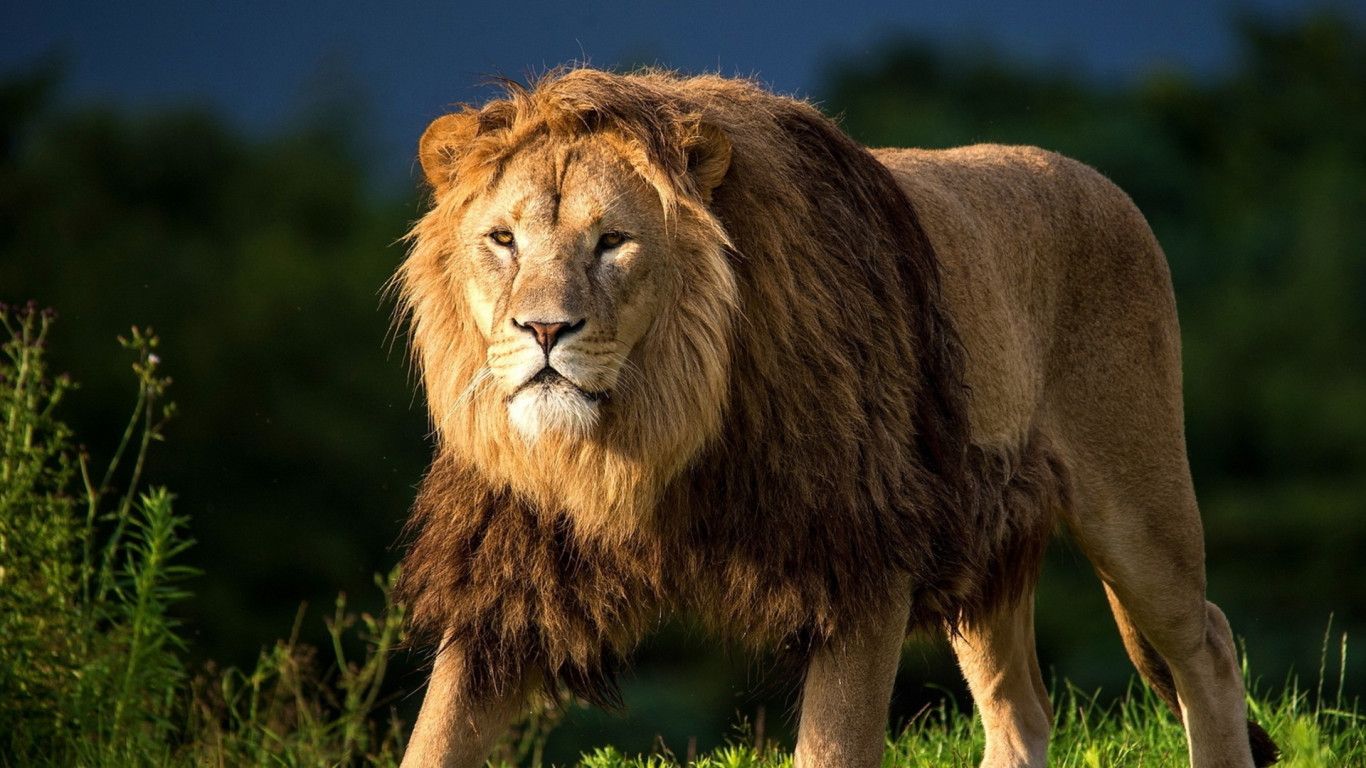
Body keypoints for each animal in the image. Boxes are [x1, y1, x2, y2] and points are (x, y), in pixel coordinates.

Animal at [392, 68, 1279, 768]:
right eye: (502, 240)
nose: (544, 330)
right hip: (980, 528)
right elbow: (434, 737)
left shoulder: (860, 555)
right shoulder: (507, 572)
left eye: (613, 241)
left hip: (1136, 507)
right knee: (1021, 711)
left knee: (1207, 645)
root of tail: (1101, 180)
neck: (640, 437)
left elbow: (832, 747)